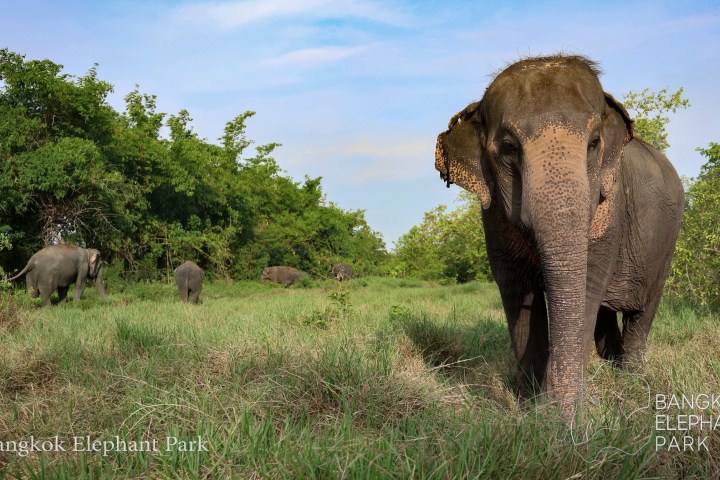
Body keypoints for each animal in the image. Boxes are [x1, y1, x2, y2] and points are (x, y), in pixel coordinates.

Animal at [435, 54, 684, 416]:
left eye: (594, 144)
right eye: (509, 148)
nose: (561, 417)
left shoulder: (611, 208)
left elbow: (588, 285)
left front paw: (557, 413)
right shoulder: (493, 215)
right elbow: (518, 290)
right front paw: (529, 405)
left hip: (665, 244)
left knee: (641, 314)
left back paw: (631, 377)